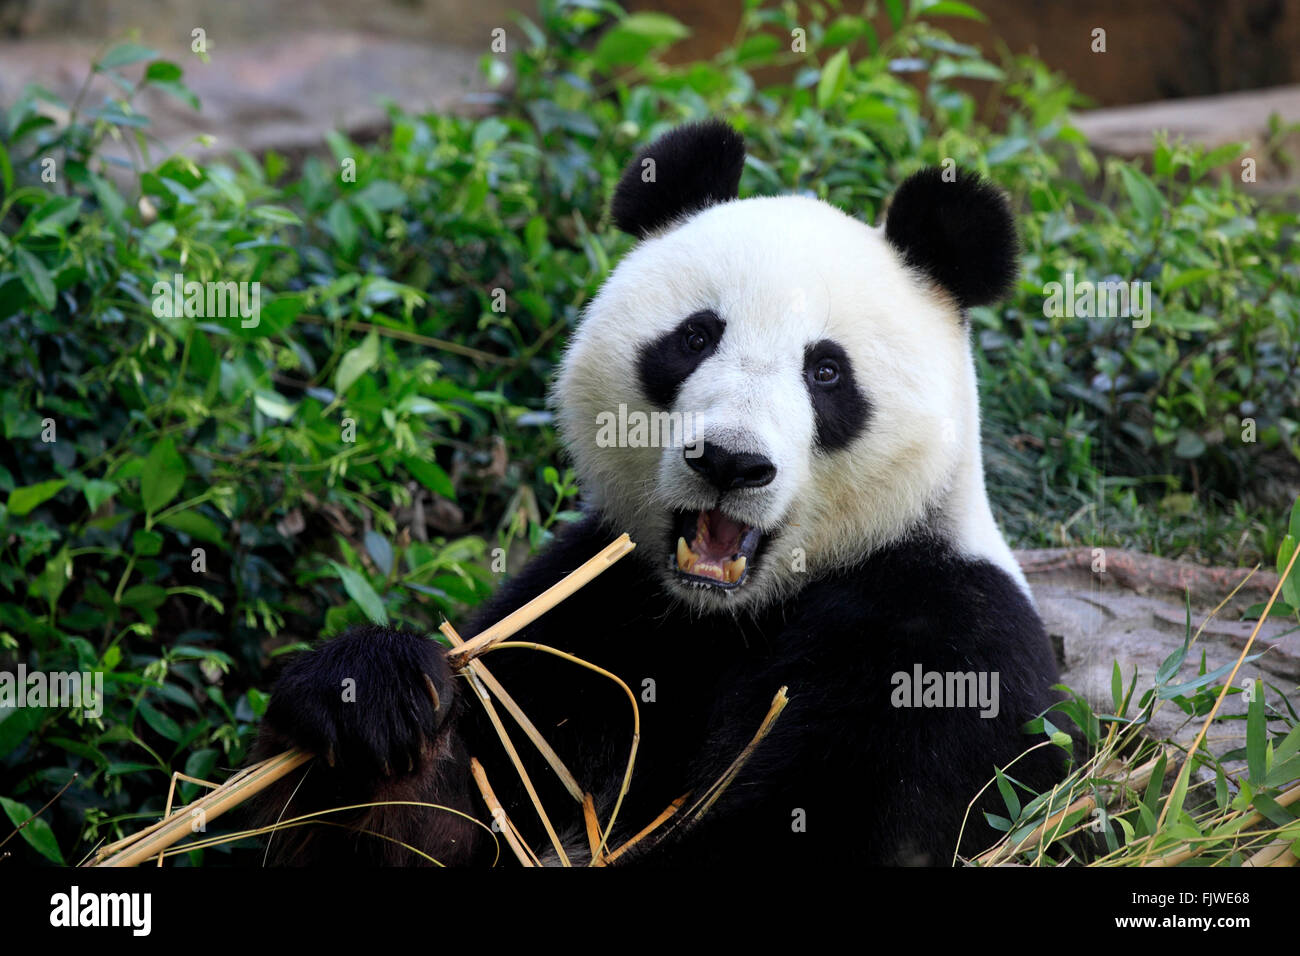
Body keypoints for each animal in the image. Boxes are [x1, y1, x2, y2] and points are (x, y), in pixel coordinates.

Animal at [250, 117, 1066, 868]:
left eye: (827, 371)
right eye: (696, 337)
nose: (731, 462)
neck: (727, 617)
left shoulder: (940, 644)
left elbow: (842, 829)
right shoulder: (597, 610)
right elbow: (459, 813)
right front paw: (372, 698)